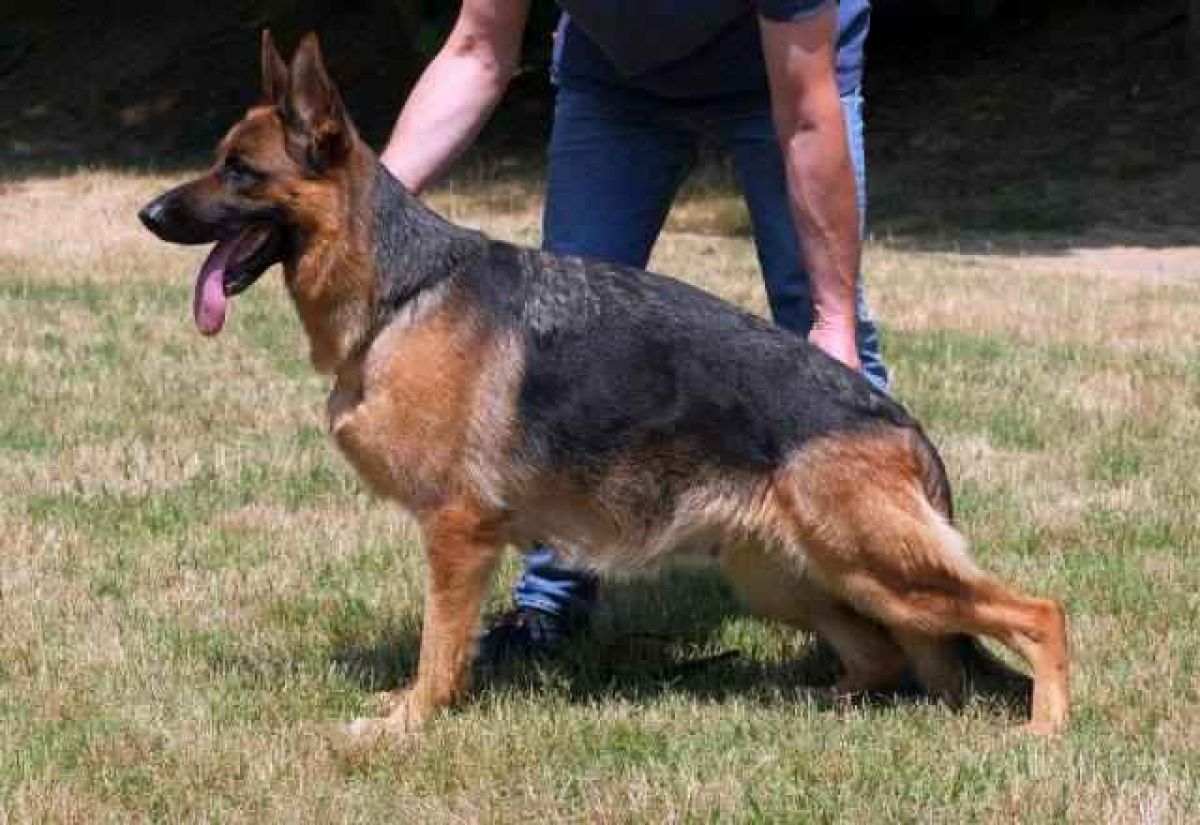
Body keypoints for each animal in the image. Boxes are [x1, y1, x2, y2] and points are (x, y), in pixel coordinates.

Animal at [138, 32, 1069, 739]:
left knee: (1037, 613)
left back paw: (1045, 726)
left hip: (877, 562)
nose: (146, 215)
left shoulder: (457, 532)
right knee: (883, 655)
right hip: (790, 572)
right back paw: (812, 700)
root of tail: (899, 421)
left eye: (240, 172)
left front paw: (409, 721)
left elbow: (440, 646)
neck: (403, 291)